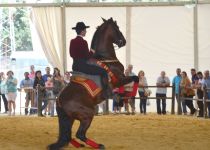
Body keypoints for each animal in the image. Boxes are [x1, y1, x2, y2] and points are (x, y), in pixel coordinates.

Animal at [48, 17, 139, 149]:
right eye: (117, 28)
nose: (123, 41)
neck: (105, 57)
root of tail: (59, 100)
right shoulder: (120, 79)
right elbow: (135, 78)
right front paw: (121, 97)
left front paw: (121, 99)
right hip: (87, 114)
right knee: (79, 134)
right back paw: (98, 145)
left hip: (69, 118)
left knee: (67, 135)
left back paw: (79, 145)